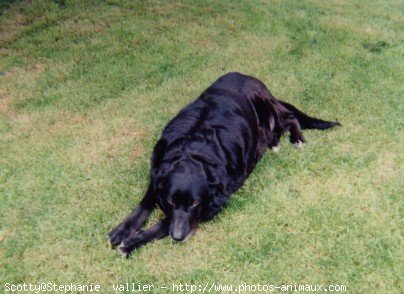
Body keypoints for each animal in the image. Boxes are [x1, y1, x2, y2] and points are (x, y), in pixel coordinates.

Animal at [109, 72, 340, 256]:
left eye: (194, 203)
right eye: (171, 200)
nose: (177, 237)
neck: (193, 151)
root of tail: (248, 75)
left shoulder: (216, 200)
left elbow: (165, 223)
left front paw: (132, 242)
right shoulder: (158, 170)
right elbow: (146, 200)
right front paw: (124, 229)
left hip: (264, 101)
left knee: (290, 117)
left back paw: (296, 138)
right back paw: (273, 142)